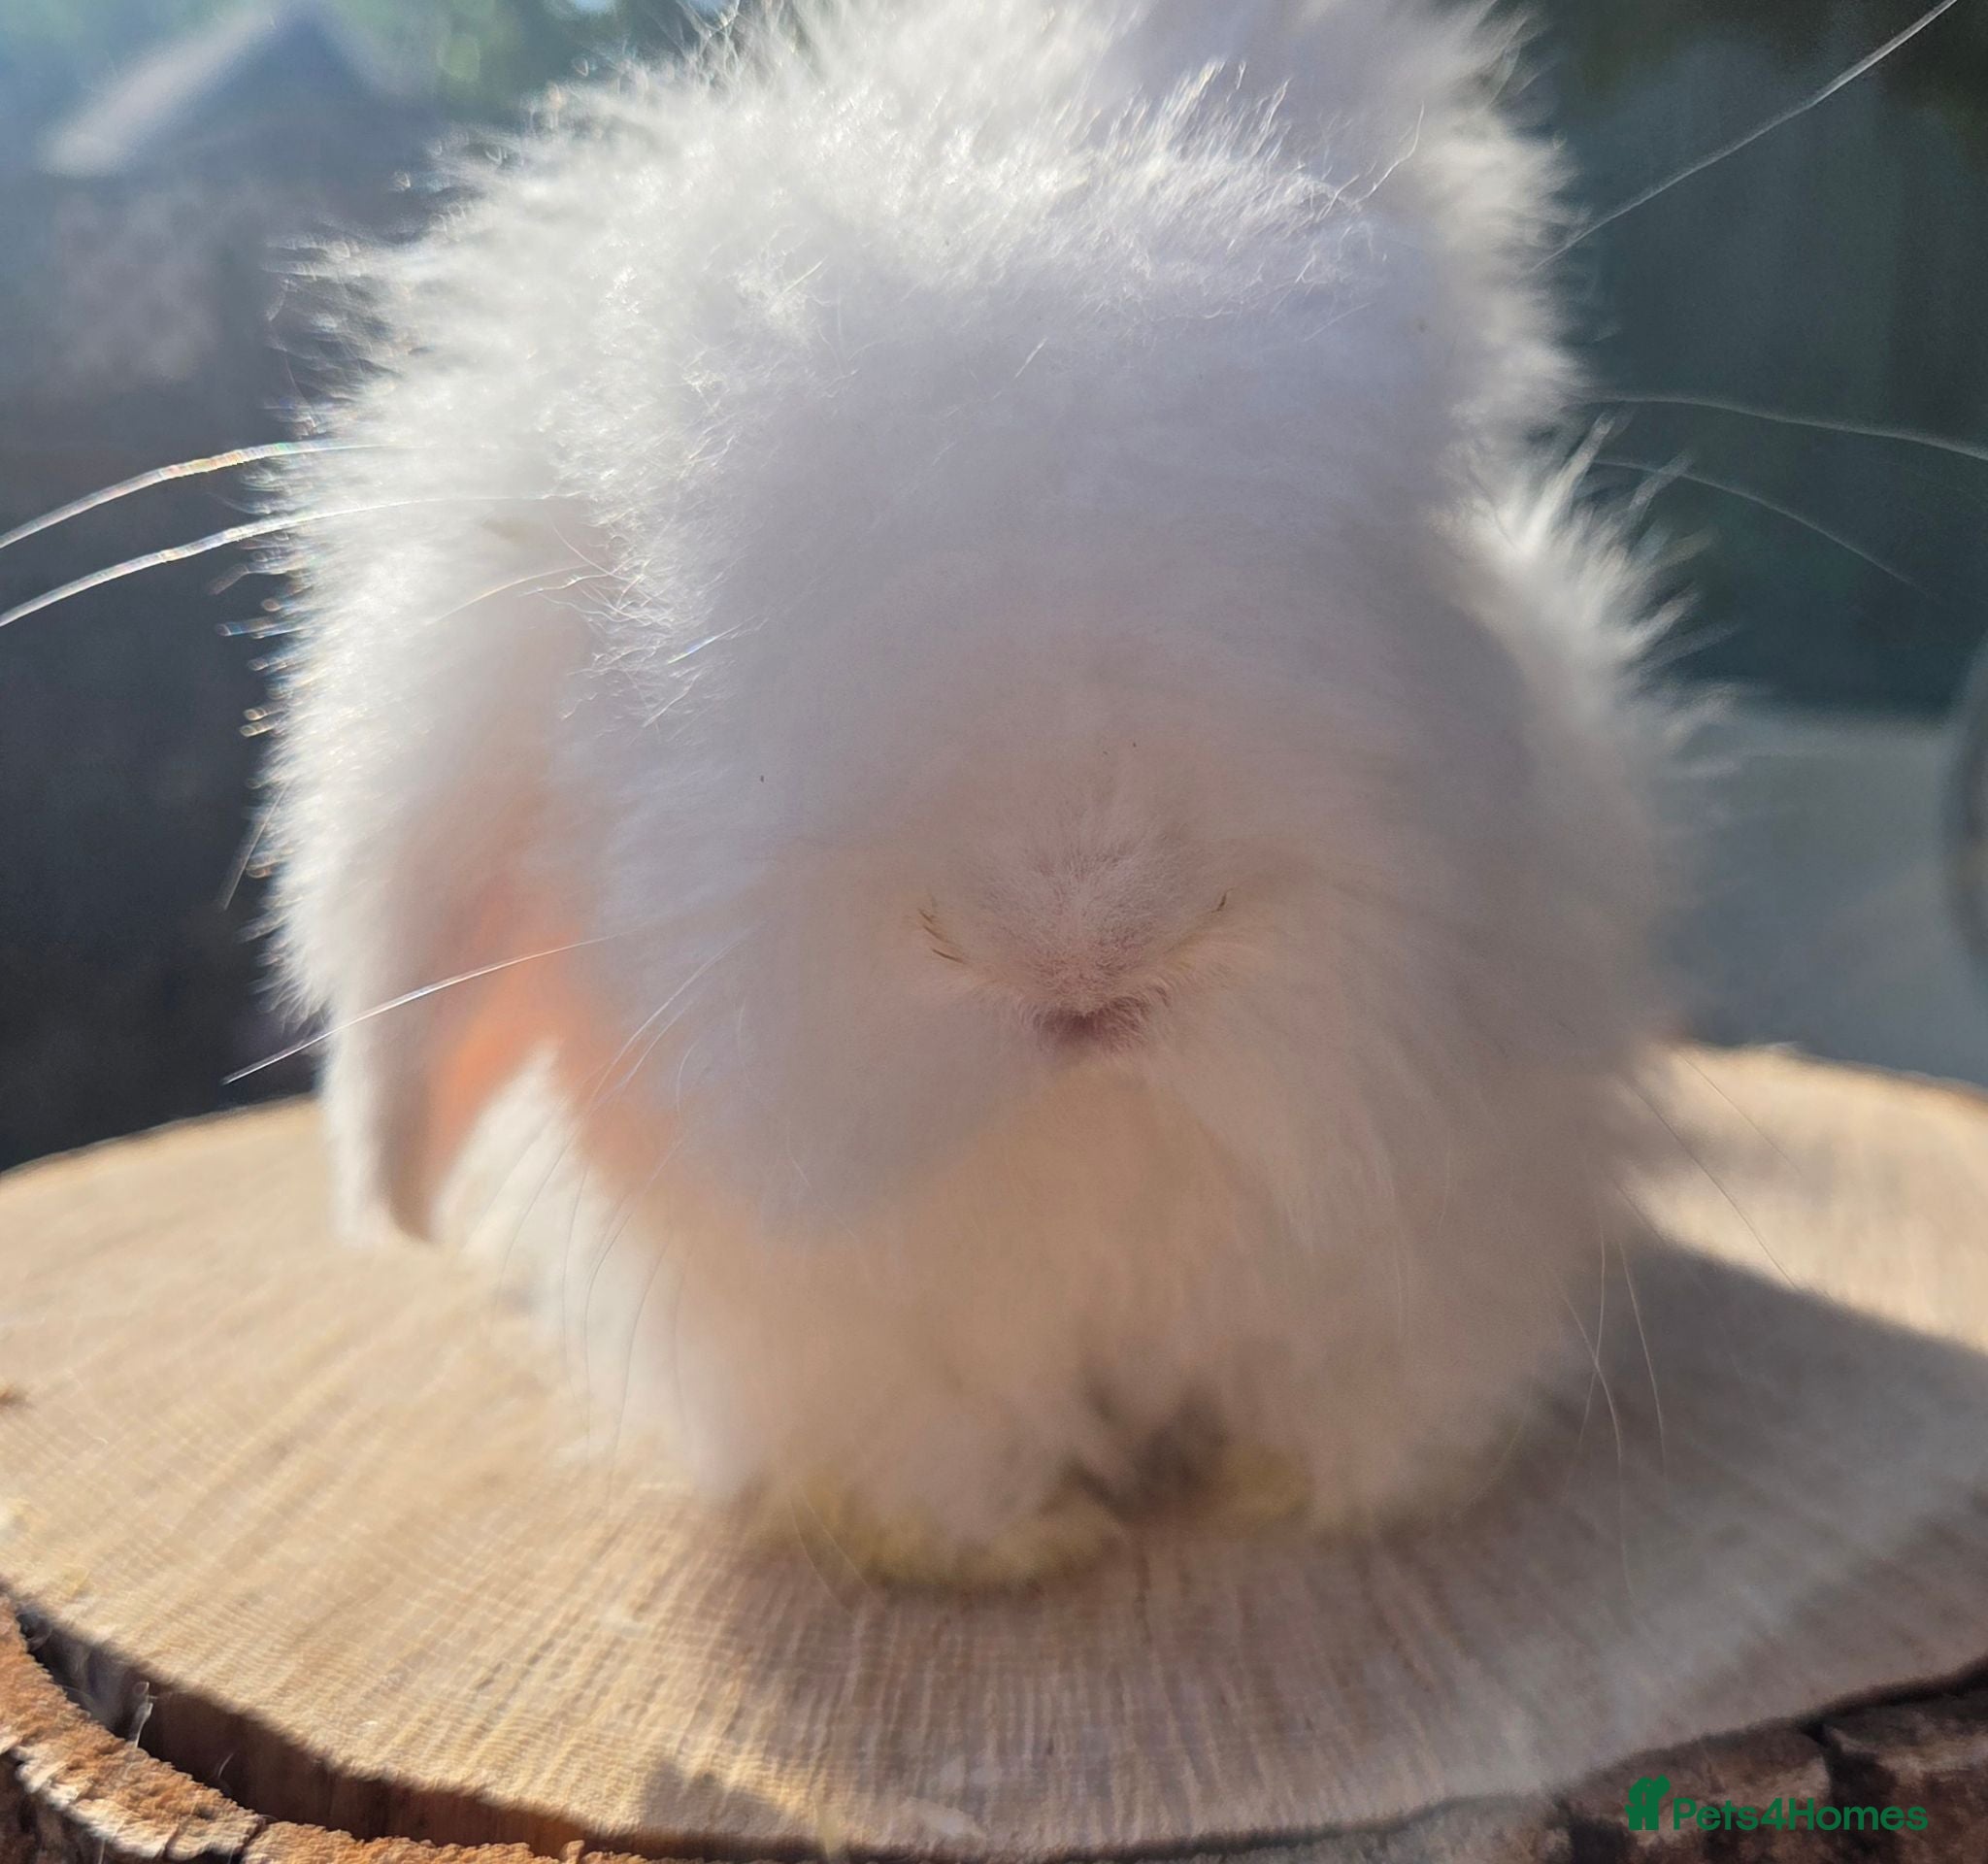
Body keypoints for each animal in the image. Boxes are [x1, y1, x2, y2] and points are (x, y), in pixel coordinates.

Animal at [266, 0, 1671, 1584]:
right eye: (665, 644)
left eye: (1387, 538)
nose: (1080, 947)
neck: (1090, 1160)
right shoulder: (852, 1359)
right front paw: (1014, 1548)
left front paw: (1298, 1493)